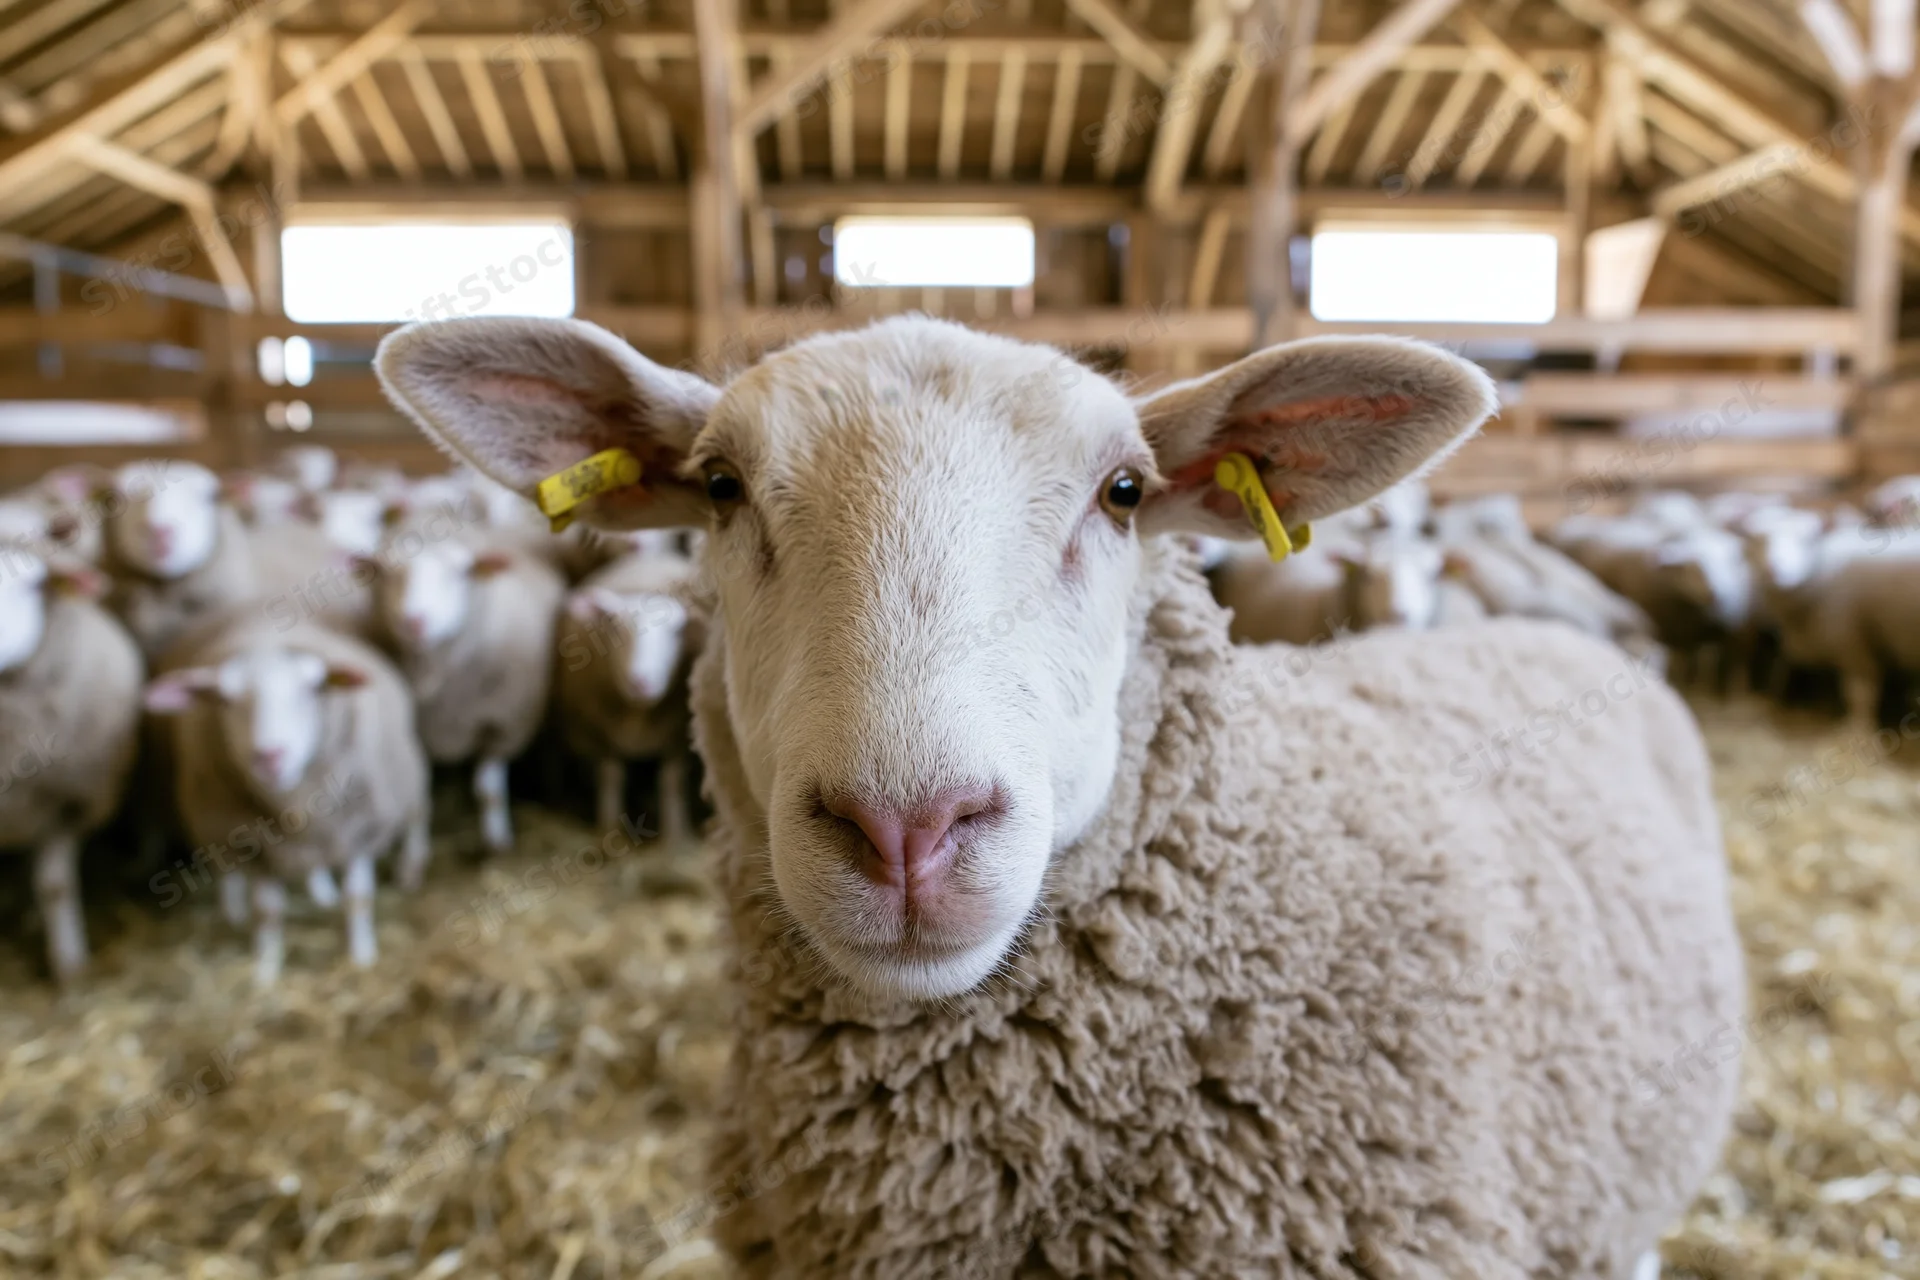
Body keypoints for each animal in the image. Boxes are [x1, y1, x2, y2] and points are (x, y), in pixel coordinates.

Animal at [143, 616, 429, 985]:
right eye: (225, 700)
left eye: (312, 689)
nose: (269, 756)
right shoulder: (256, 850)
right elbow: (267, 913)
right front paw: (265, 971)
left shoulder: (360, 831)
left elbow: (358, 899)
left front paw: (362, 958)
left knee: (416, 815)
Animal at [364, 519, 564, 856]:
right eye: (389, 574)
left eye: (460, 573)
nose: (413, 621)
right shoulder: (415, 734)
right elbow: (419, 795)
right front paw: (414, 856)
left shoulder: (505, 726)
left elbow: (488, 790)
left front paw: (497, 842)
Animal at [554, 550, 705, 840]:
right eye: (612, 625)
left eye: (679, 630)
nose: (641, 681)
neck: (639, 714)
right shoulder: (598, 734)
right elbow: (611, 777)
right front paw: (608, 829)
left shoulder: (678, 738)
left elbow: (671, 781)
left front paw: (676, 836)